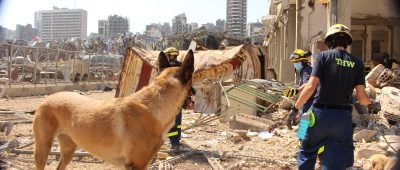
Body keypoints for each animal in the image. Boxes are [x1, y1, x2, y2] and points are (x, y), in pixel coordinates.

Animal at [33, 49, 196, 169]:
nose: (195, 92)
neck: (155, 106)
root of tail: (47, 98)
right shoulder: (137, 165)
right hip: (42, 149)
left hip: (68, 151)